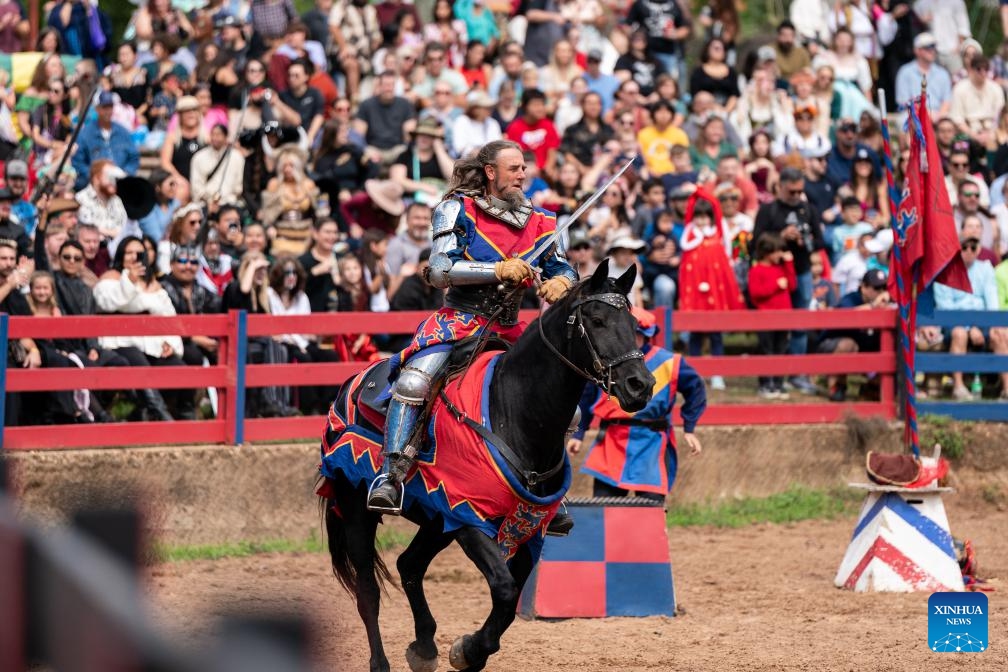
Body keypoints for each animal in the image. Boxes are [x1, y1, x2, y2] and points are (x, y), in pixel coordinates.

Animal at [318, 261, 657, 672]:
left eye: (633, 322)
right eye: (596, 319)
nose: (640, 385)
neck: (512, 409)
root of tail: (349, 387)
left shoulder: (526, 525)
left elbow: (510, 599)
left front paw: (470, 650)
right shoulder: (468, 518)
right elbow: (506, 590)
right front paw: (468, 650)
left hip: (436, 520)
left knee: (409, 565)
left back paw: (424, 646)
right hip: (356, 508)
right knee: (368, 591)